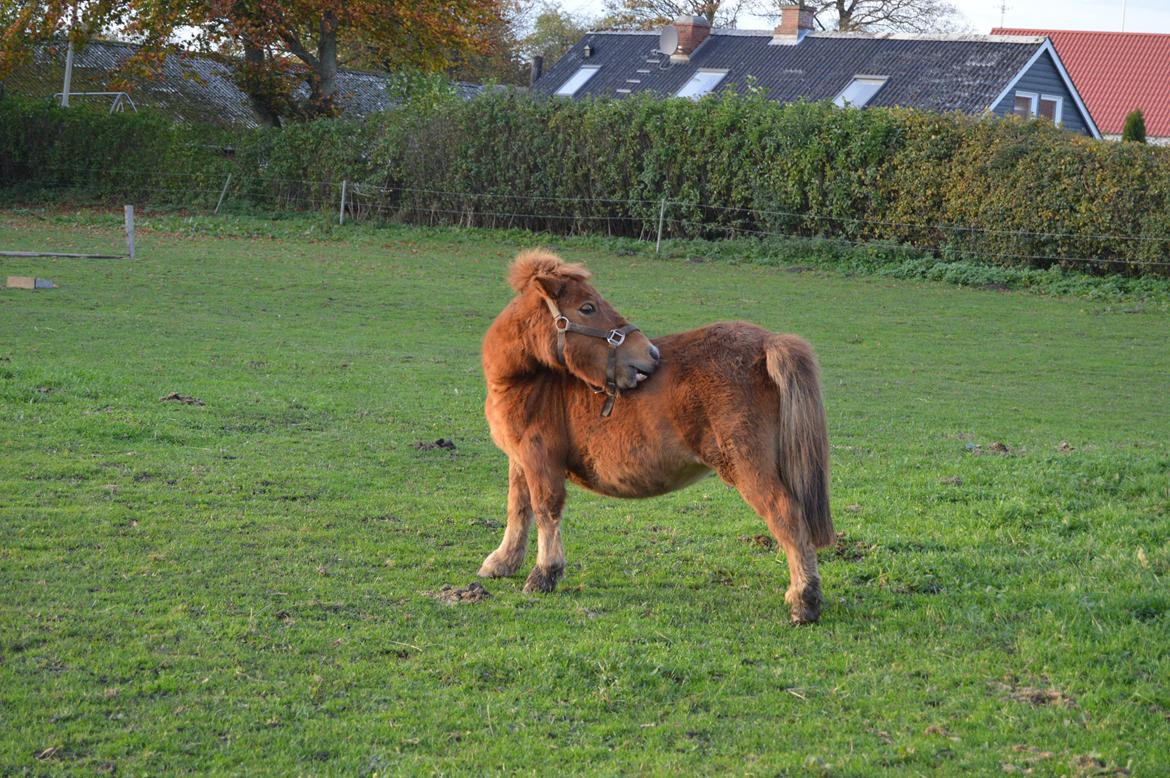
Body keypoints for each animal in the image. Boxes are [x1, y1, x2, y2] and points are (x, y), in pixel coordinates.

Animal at [475, 251, 833, 622]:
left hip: (749, 469)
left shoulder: (541, 460)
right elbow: (519, 508)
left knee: (788, 517)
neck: (528, 383)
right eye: (587, 307)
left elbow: (545, 510)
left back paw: (803, 600)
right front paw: (503, 562)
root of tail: (767, 343)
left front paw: (544, 574)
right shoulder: (521, 461)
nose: (650, 354)